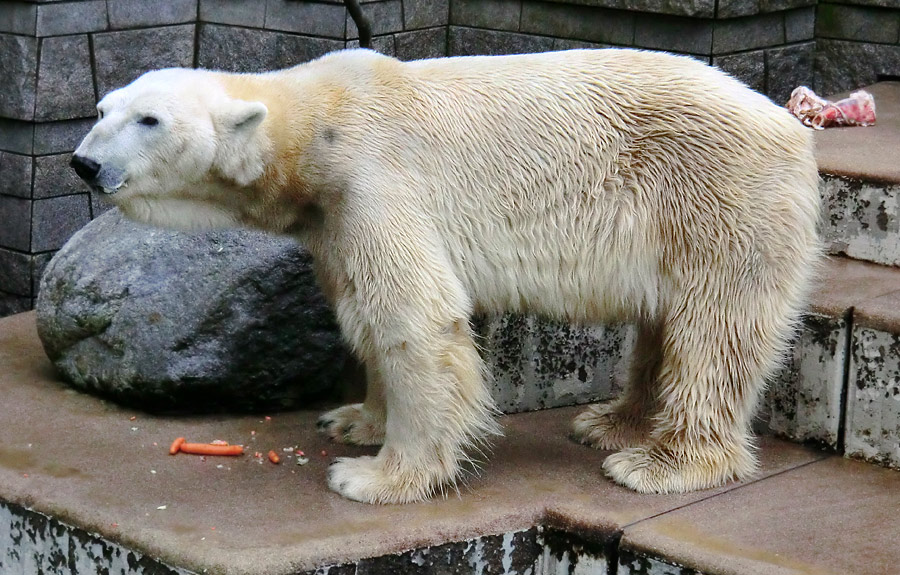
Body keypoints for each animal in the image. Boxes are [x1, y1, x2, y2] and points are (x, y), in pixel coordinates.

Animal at [68, 49, 824, 504]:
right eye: (102, 109)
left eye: (149, 119)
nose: (83, 162)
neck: (316, 124)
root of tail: (791, 125)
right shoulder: (333, 214)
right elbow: (360, 307)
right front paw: (354, 420)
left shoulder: (376, 177)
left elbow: (413, 317)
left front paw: (375, 475)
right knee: (664, 321)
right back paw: (611, 423)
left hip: (716, 196)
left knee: (713, 329)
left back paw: (660, 463)